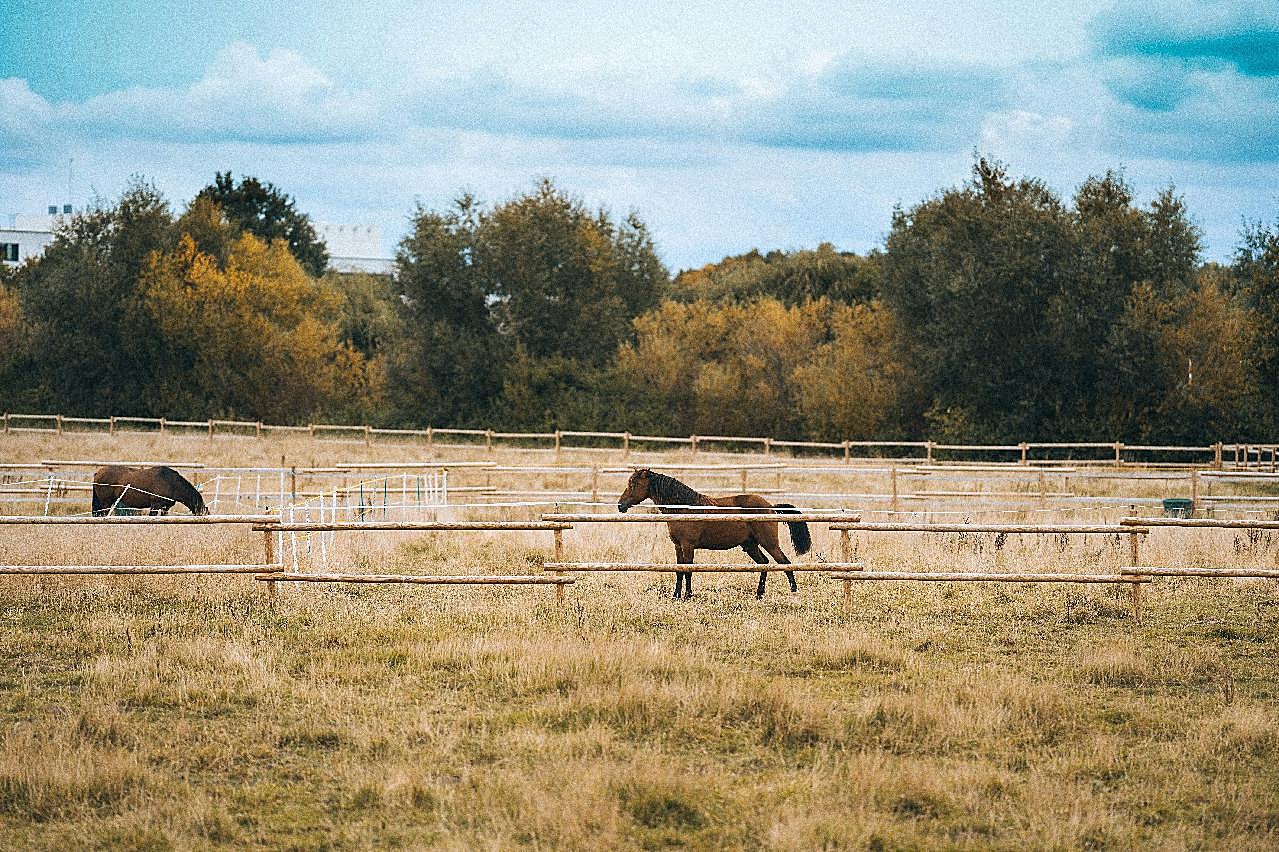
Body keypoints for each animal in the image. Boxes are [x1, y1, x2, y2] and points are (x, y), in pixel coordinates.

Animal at [611, 468, 808, 601]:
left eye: (634, 484)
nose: (620, 505)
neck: (684, 508)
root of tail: (770, 506)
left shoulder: (688, 546)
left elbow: (688, 570)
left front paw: (688, 595)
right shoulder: (678, 546)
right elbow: (679, 571)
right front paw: (676, 595)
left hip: (769, 543)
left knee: (784, 562)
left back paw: (793, 591)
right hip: (750, 545)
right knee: (764, 563)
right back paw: (759, 594)